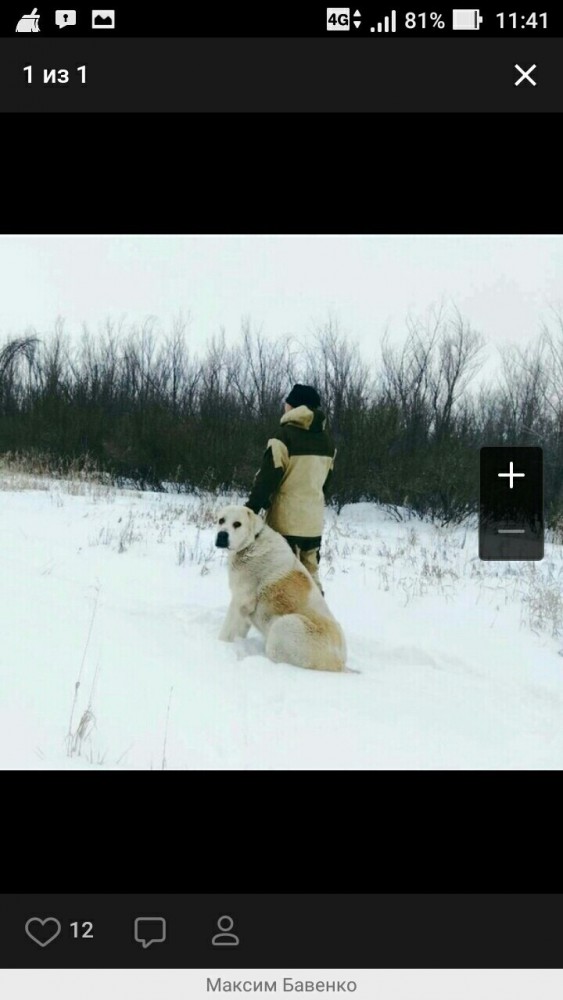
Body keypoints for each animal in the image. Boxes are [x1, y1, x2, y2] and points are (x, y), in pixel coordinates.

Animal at [216, 508, 346, 672]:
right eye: (221, 520)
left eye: (237, 524)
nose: (221, 535)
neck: (252, 542)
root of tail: (340, 664)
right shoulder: (245, 611)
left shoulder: (241, 600)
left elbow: (226, 631)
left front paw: (220, 644)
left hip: (285, 624)